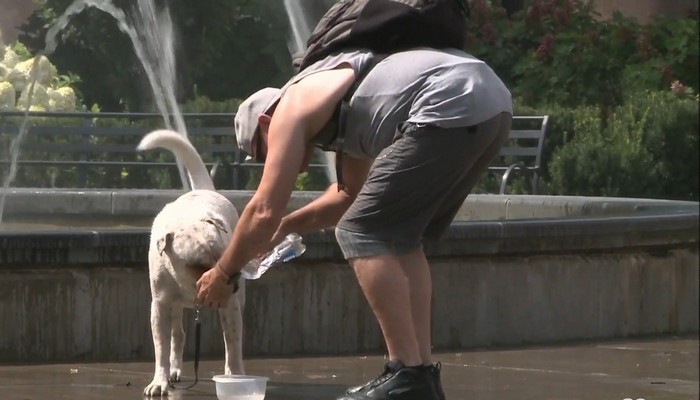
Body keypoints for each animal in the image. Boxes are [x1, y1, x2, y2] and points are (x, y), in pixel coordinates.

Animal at [137, 130, 246, 396]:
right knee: (178, 334)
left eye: (224, 256)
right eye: (198, 264)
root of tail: (205, 188)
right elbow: (161, 347)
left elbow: (233, 342)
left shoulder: (230, 306)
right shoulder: (160, 305)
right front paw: (160, 381)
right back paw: (174, 370)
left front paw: (235, 377)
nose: (233, 280)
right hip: (174, 306)